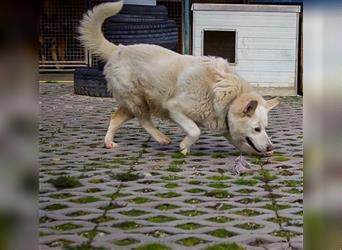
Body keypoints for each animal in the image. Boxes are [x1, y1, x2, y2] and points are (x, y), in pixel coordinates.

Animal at [79, 0, 280, 155]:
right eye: (256, 129)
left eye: (265, 128)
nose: (271, 147)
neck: (227, 98)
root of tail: (119, 49)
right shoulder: (174, 109)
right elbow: (195, 130)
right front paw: (184, 146)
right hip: (141, 100)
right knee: (144, 120)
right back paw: (161, 138)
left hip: (133, 104)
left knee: (115, 118)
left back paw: (109, 142)